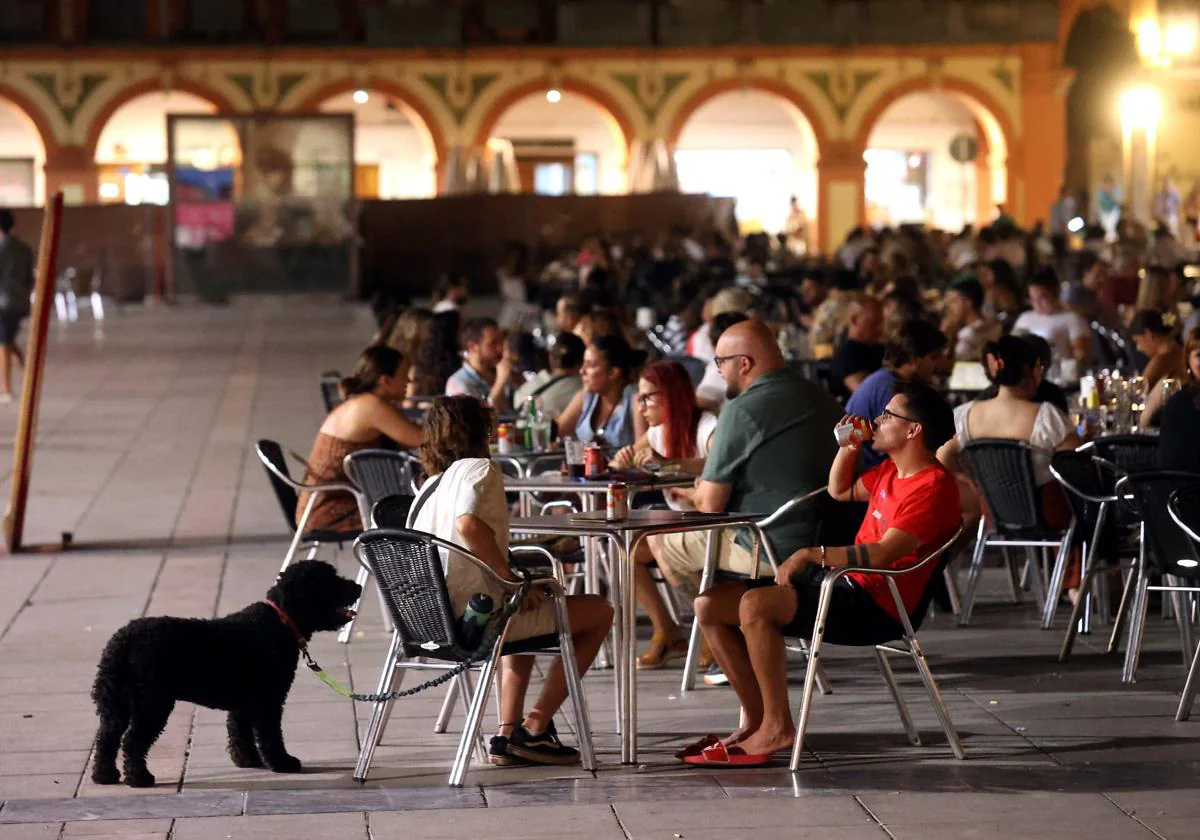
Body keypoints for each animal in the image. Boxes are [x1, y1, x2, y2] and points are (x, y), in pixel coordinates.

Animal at [90, 556, 360, 787]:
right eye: (330, 580)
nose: (357, 586)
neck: (280, 620)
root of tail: (122, 640)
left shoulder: (244, 702)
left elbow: (240, 732)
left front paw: (247, 761)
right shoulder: (268, 702)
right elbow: (270, 736)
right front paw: (282, 763)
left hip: (116, 704)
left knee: (106, 738)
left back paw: (105, 776)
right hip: (151, 704)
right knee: (132, 741)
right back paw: (139, 778)